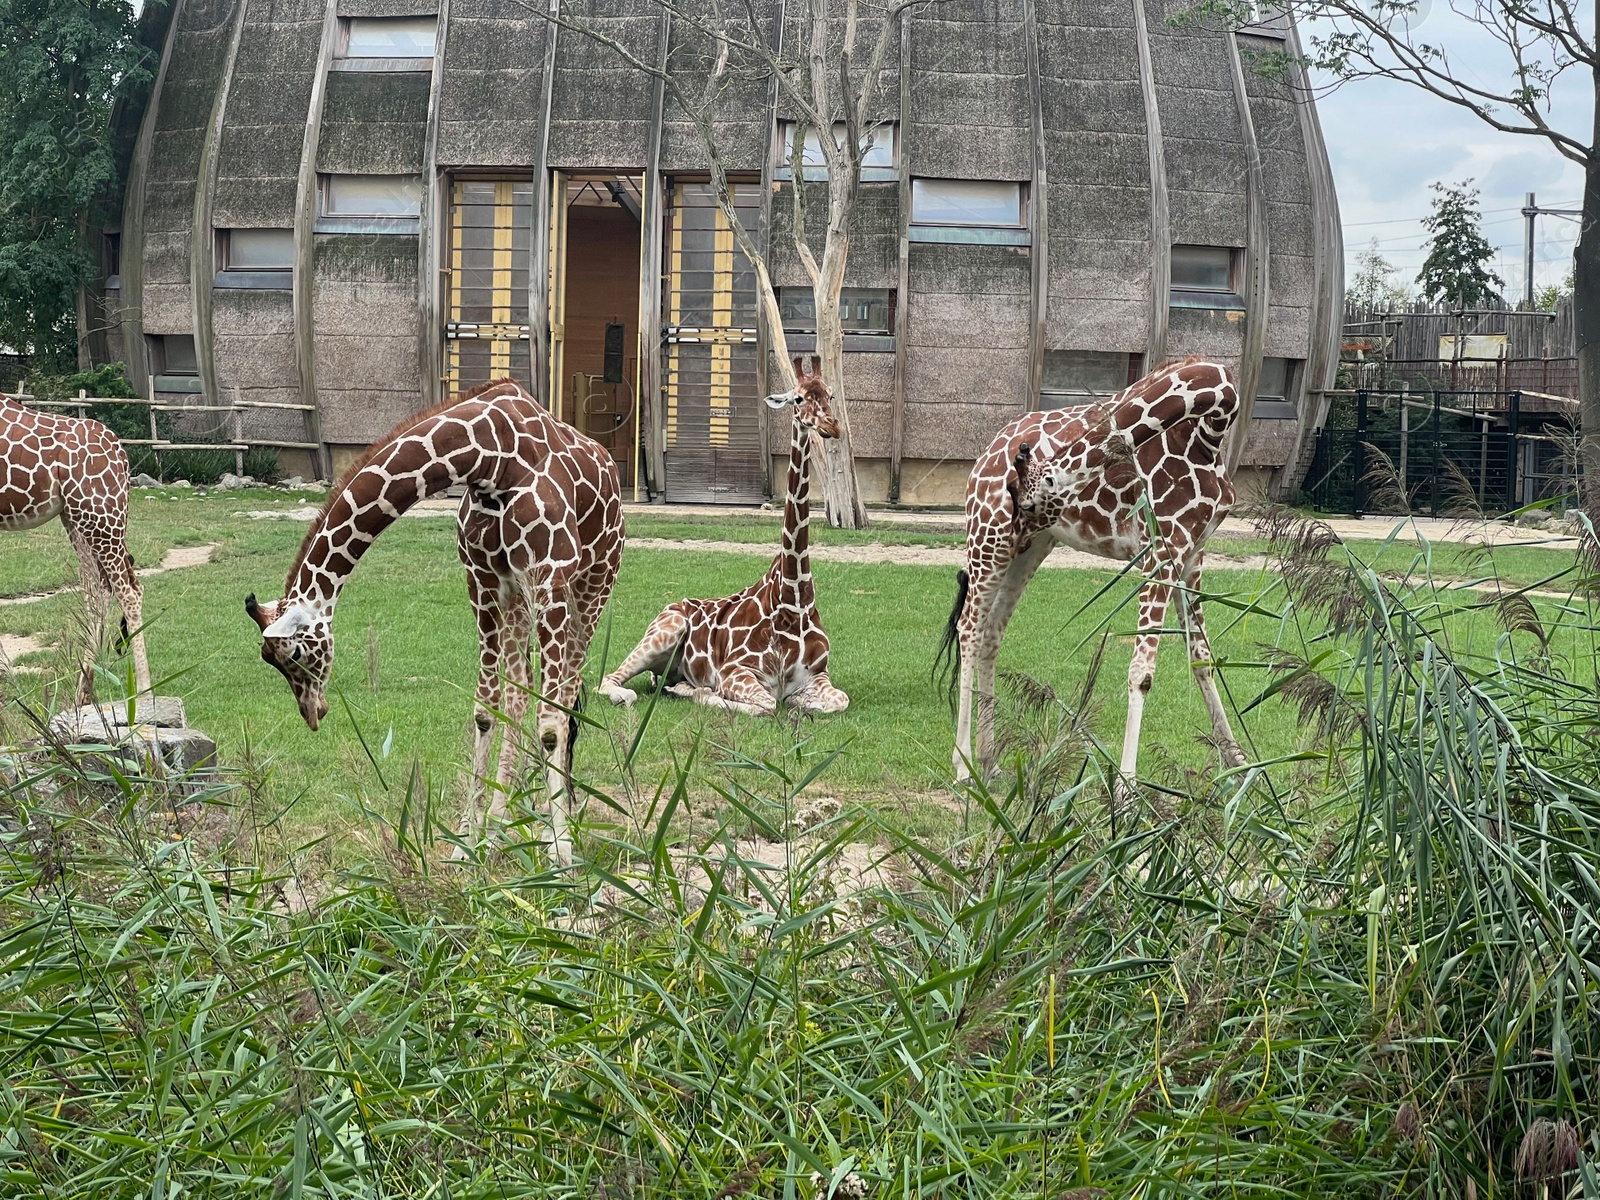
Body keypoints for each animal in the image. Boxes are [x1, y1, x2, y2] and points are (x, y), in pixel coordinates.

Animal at [0, 395, 150, 700]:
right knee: (99, 590)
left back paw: (143, 692)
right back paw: (84, 694)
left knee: (127, 590)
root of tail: (122, 456)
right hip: (77, 516)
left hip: (99, 514)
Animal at [246, 377, 620, 864]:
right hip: (519, 598)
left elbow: (552, 722)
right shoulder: (482, 579)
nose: (312, 713)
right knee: (520, 693)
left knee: (568, 695)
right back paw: (502, 826)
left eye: (294, 654)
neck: (490, 459)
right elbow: (486, 709)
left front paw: (560, 854)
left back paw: (557, 823)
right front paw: (468, 840)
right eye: (268, 659)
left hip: (592, 586)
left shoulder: (550, 575)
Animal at [601, 352, 851, 720]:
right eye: (798, 398)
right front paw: (705, 693)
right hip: (665, 630)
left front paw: (800, 704)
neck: (794, 602)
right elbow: (764, 706)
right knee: (609, 680)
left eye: (831, 394)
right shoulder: (735, 671)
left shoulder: (819, 675)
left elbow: (836, 701)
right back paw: (647, 693)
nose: (831, 426)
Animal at [934, 356, 1248, 790]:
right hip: (987, 537)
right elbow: (1142, 672)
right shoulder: (1160, 550)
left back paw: (989, 761)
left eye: (1024, 501)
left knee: (991, 632)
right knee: (968, 626)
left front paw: (1241, 767)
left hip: (1032, 549)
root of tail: (988, 451)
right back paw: (963, 765)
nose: (1017, 525)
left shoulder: (1191, 555)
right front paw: (1127, 788)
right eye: (1014, 495)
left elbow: (1202, 656)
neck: (1211, 428)